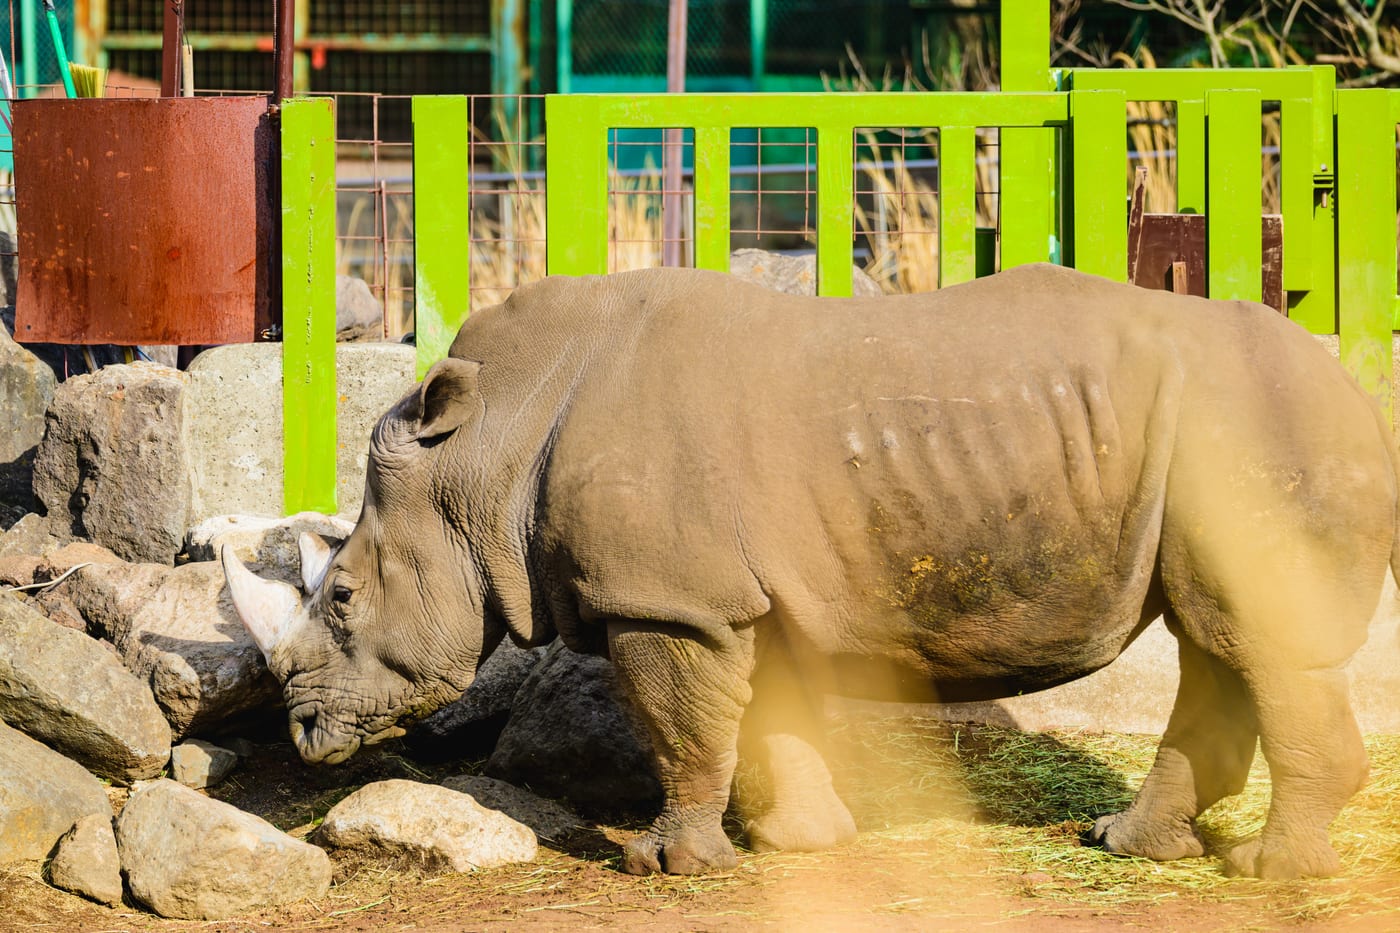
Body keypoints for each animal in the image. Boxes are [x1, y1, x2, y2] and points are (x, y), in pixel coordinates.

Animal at [224, 263, 1399, 879]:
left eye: (341, 597)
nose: (306, 732)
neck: (486, 450)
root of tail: (1354, 389)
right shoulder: (737, 599)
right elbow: (766, 721)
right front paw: (801, 844)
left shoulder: (669, 603)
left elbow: (682, 726)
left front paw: (671, 866)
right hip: (1222, 438)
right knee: (1218, 638)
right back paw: (1128, 845)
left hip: (1256, 426)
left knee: (1256, 640)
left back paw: (1271, 874)